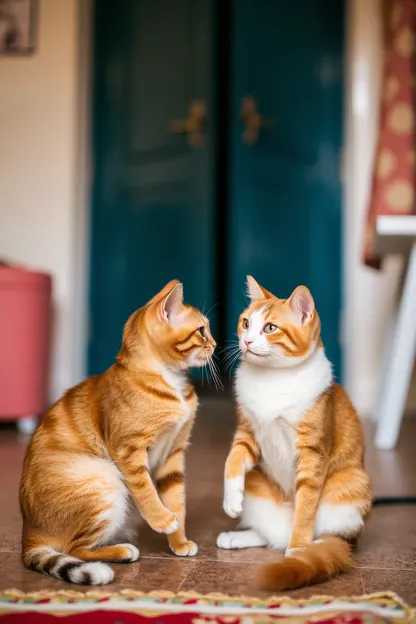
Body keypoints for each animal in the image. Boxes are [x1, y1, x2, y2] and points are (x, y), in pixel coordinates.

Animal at [19, 282, 216, 584]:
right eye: (202, 330)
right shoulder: (128, 451)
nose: (215, 345)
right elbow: (146, 490)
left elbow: (176, 500)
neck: (170, 381)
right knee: (74, 548)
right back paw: (123, 551)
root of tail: (28, 533)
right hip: (104, 479)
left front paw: (179, 541)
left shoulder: (173, 452)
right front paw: (162, 520)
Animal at [216, 276, 372, 588]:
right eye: (245, 323)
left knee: (335, 537)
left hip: (352, 482)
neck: (272, 378)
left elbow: (307, 505)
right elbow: (233, 459)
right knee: (270, 536)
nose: (246, 341)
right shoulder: (247, 432)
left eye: (270, 328)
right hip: (258, 485)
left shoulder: (313, 451)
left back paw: (314, 546)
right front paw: (231, 497)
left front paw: (299, 549)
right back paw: (241, 536)